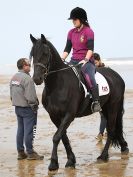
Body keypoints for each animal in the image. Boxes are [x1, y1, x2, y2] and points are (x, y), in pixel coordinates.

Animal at [29, 34, 128, 171]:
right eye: (33, 54)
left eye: (45, 53)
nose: (37, 79)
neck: (58, 84)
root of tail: (117, 76)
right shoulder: (54, 116)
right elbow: (63, 137)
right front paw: (71, 160)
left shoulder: (69, 115)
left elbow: (56, 137)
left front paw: (53, 163)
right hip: (105, 108)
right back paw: (123, 147)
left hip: (113, 106)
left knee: (111, 130)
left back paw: (103, 156)